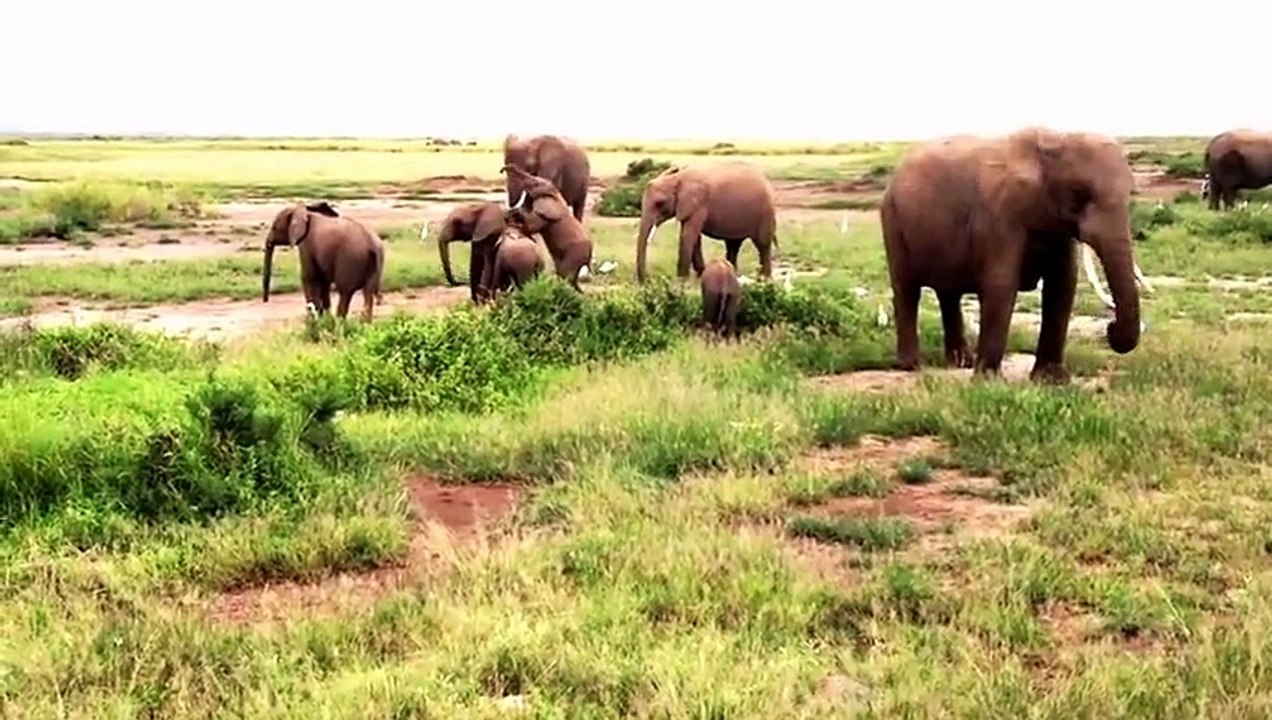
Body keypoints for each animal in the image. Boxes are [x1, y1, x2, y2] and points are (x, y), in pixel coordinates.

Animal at [635, 162, 777, 284]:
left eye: (659, 203)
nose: (647, 281)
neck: (677, 178)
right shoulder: (688, 207)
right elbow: (692, 237)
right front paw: (700, 276)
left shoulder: (699, 204)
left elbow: (688, 236)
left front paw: (682, 281)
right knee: (733, 245)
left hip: (765, 212)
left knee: (763, 244)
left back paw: (764, 279)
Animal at [879, 126, 1151, 384]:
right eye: (1079, 193)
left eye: (1131, 194)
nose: (1110, 328)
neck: (1054, 142)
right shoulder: (998, 215)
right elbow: (1001, 284)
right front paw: (988, 382)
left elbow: (1062, 286)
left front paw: (1052, 380)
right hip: (891, 219)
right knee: (907, 290)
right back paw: (911, 365)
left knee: (949, 294)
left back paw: (960, 362)